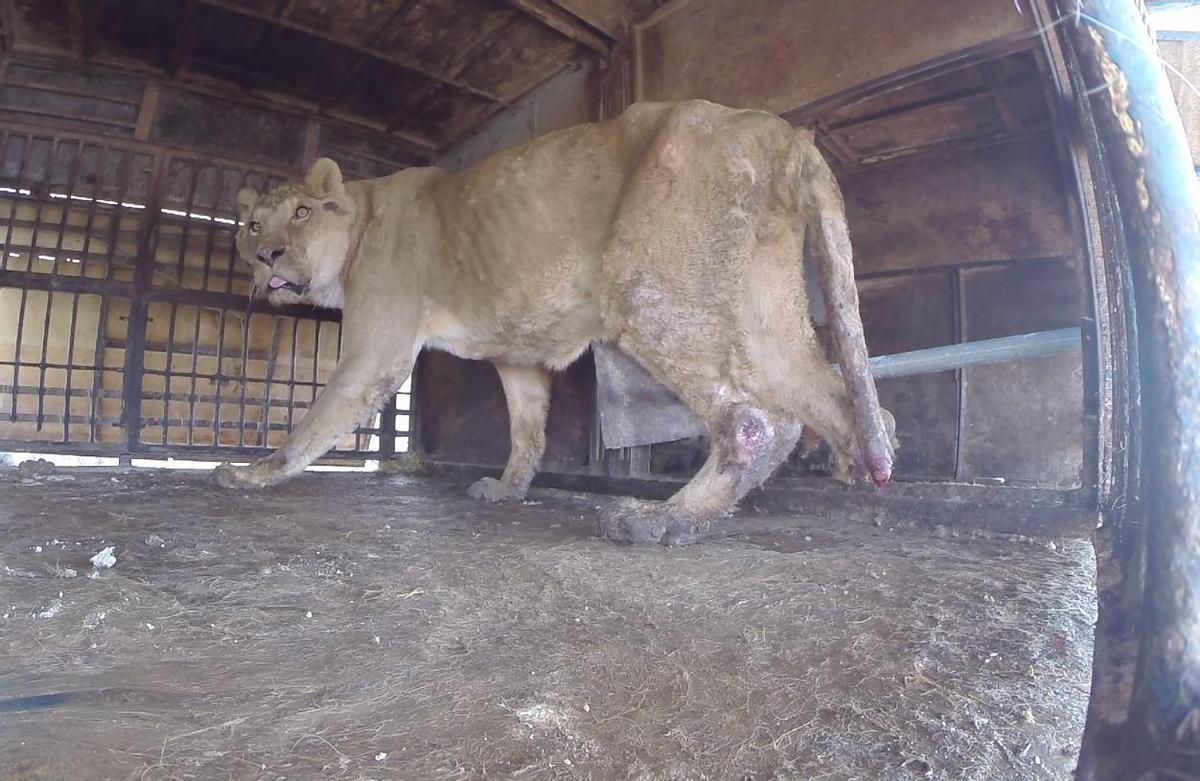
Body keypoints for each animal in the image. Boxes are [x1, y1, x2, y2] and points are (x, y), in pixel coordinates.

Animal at [211, 99, 897, 544]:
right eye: (252, 226)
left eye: (301, 214)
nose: (268, 254)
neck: (359, 220)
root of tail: (776, 130)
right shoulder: (517, 358)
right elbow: (527, 431)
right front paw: (507, 490)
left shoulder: (375, 350)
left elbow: (316, 420)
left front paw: (252, 474)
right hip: (762, 312)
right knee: (845, 402)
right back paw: (859, 475)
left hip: (647, 289)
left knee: (757, 421)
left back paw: (662, 522)